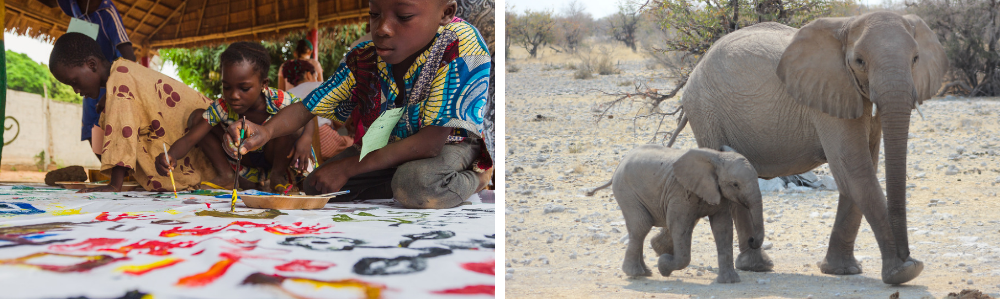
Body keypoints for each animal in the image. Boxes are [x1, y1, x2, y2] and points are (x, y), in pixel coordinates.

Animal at [608, 145, 764, 284]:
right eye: (735, 184)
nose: (751, 240)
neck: (717, 157)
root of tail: (622, 160)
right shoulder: (680, 191)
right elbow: (679, 226)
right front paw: (663, 265)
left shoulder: (718, 192)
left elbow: (723, 227)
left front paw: (730, 281)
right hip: (626, 191)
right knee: (641, 226)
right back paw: (636, 274)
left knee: (640, 228)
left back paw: (646, 272)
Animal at [668, 11, 948, 284]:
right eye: (859, 61)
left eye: (915, 59)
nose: (909, 256)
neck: (845, 26)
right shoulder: (828, 95)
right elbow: (855, 170)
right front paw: (903, 273)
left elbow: (862, 169)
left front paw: (843, 271)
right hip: (705, 111)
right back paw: (757, 266)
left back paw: (758, 265)